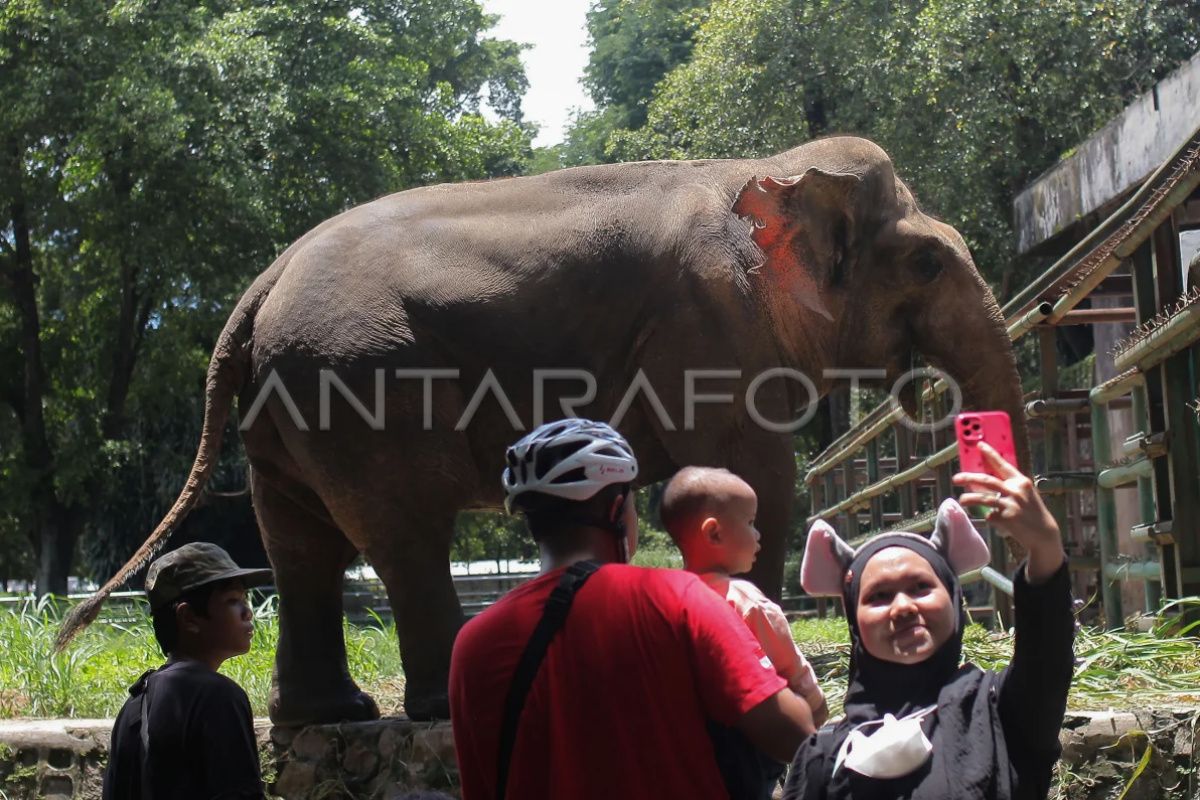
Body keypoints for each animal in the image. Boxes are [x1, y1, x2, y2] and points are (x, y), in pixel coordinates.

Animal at [60, 136, 1027, 724]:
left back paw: (331, 716)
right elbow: (748, 470)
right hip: (359, 383)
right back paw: (435, 709)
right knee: (401, 530)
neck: (769, 167)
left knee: (299, 542)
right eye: (926, 261)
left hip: (288, 402)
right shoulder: (710, 330)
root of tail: (259, 286)